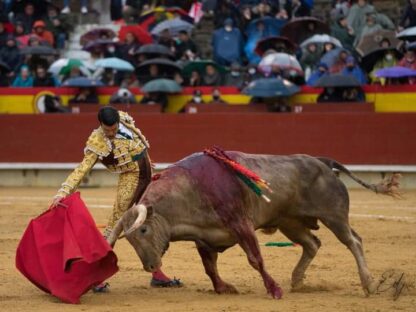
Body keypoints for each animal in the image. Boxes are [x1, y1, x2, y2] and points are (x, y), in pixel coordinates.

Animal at [108, 152, 400, 298]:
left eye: (144, 230)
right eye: (130, 240)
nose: (150, 266)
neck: (188, 191)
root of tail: (324, 162)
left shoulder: (242, 225)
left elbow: (255, 259)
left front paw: (274, 290)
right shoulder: (204, 237)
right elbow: (209, 267)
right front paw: (224, 288)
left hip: (334, 216)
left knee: (353, 241)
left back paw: (368, 284)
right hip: (289, 222)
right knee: (312, 244)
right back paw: (297, 280)